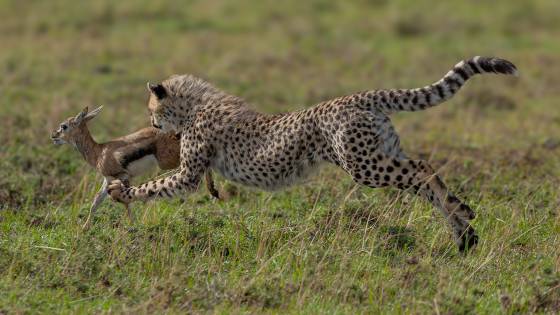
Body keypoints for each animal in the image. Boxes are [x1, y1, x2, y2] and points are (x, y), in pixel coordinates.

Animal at [109, 56, 520, 253]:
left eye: (151, 109)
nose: (151, 121)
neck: (197, 106)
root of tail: (357, 96)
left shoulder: (189, 172)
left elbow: (157, 184)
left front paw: (120, 191)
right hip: (381, 153)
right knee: (422, 176)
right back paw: (463, 232)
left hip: (365, 166)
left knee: (422, 169)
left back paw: (462, 216)